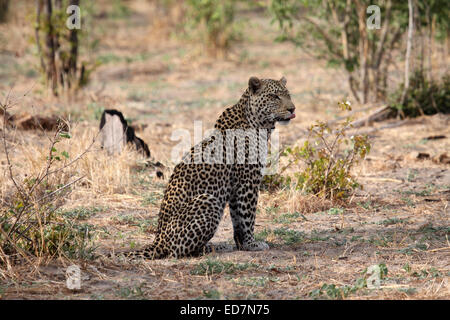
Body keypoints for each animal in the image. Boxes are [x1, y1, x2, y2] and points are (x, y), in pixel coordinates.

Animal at [123, 76, 296, 258]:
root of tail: (158, 241)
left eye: (288, 95)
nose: (292, 108)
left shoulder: (235, 187)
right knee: (178, 251)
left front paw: (242, 244)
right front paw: (252, 244)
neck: (258, 124)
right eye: (274, 96)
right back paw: (216, 247)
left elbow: (237, 218)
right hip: (208, 200)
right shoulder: (247, 182)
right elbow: (247, 216)